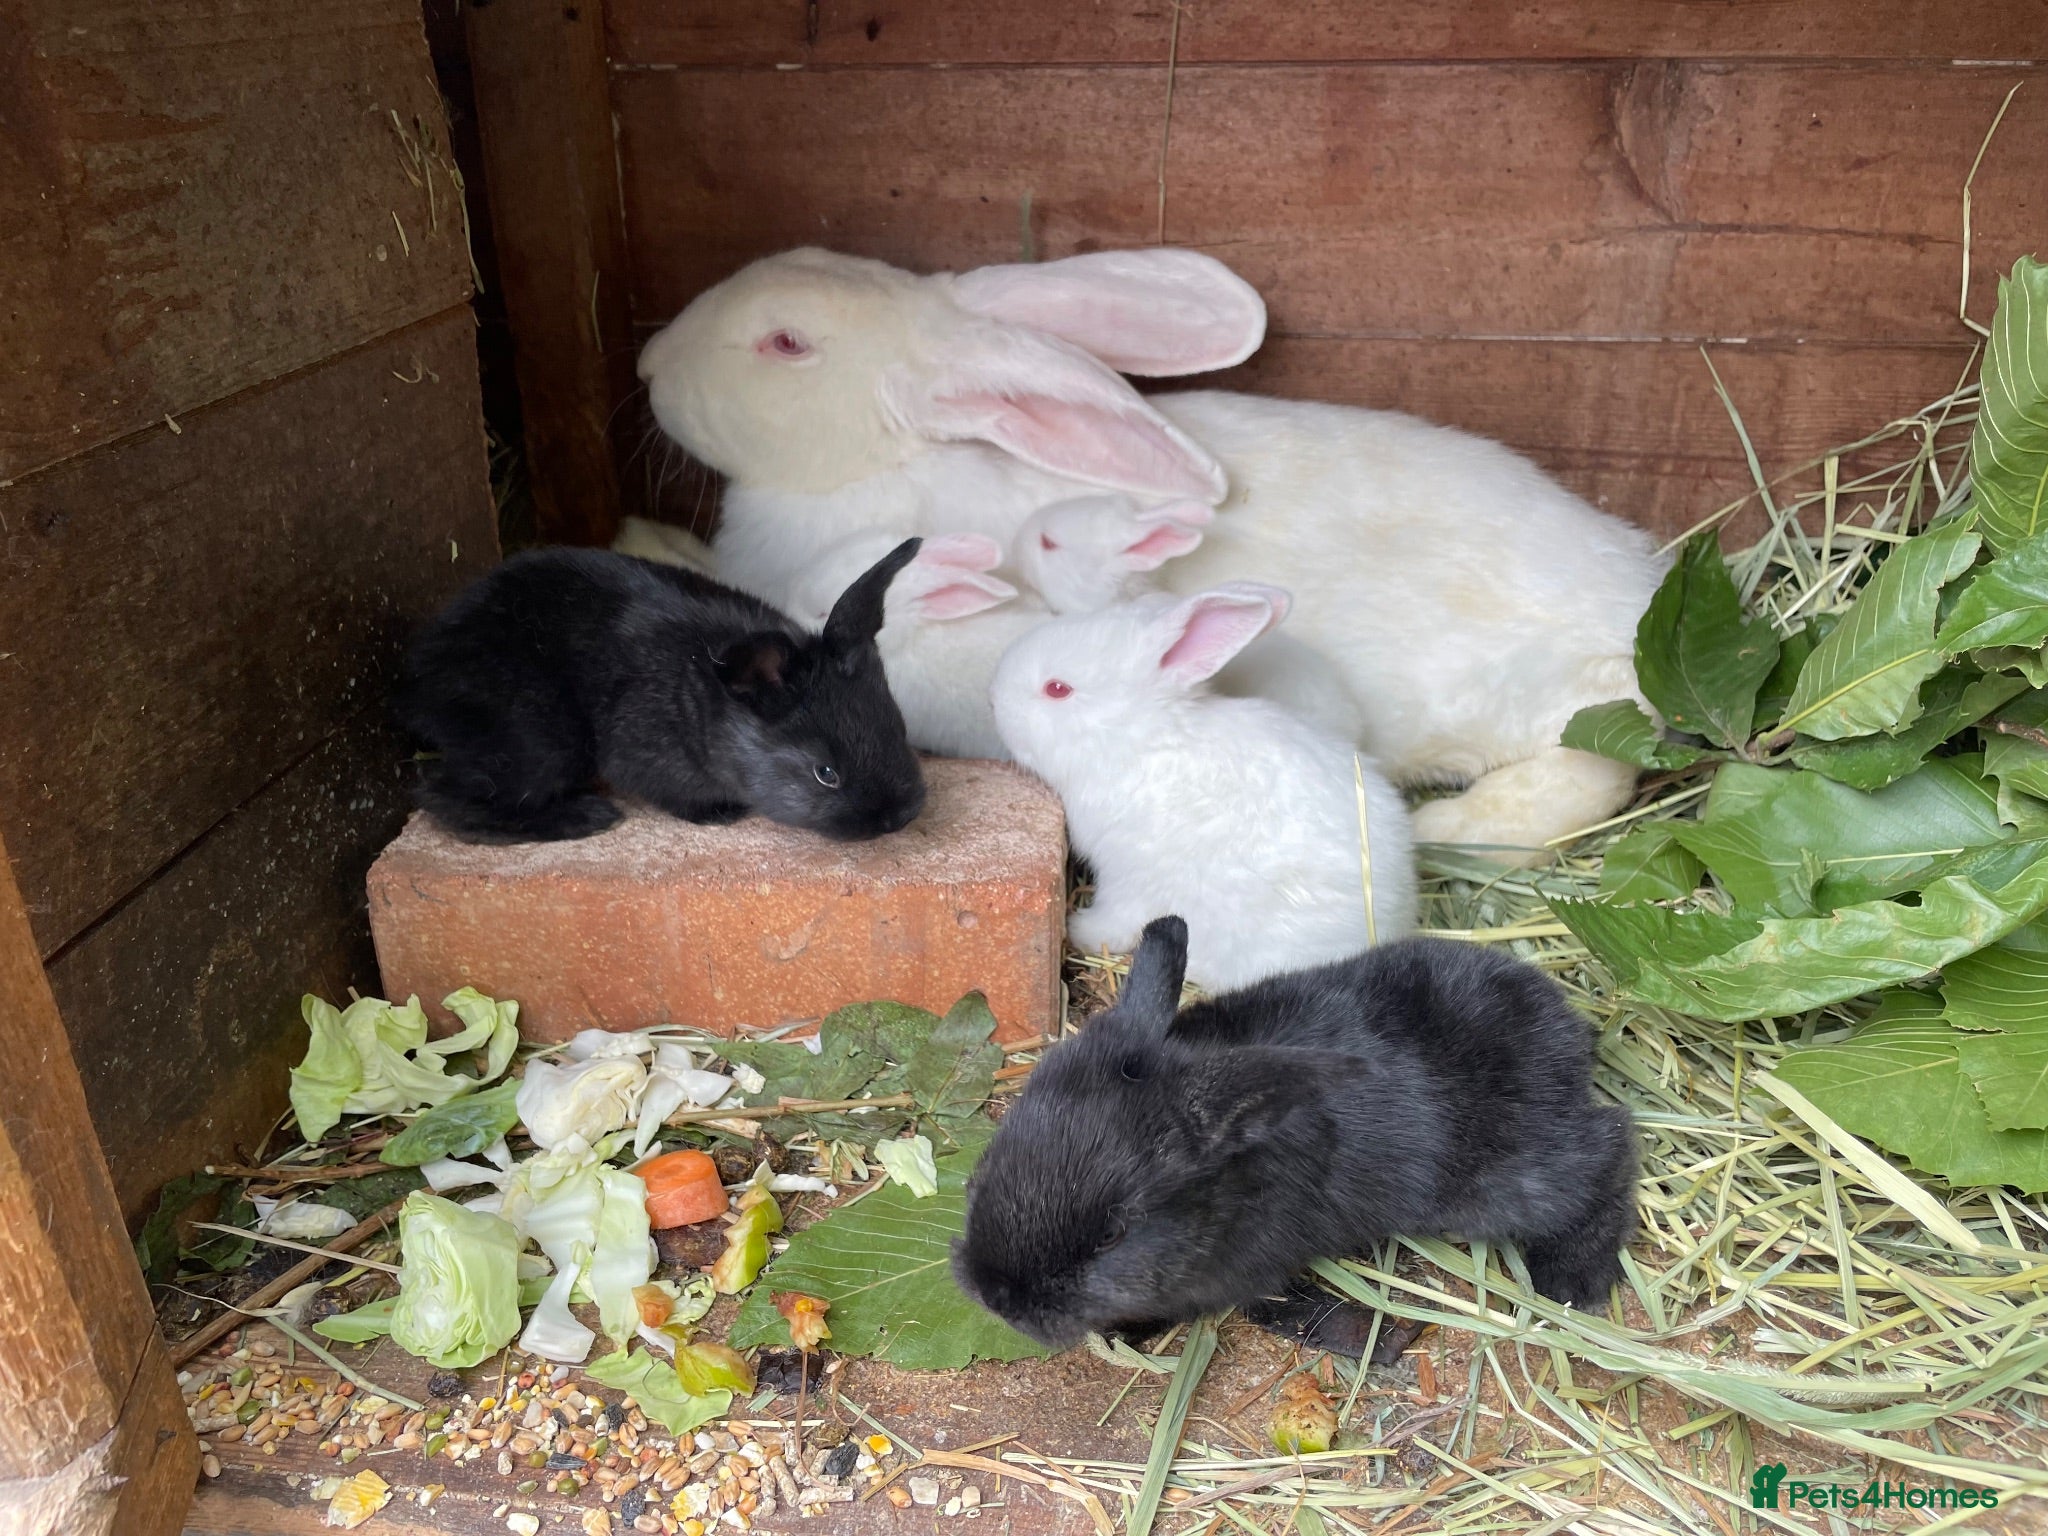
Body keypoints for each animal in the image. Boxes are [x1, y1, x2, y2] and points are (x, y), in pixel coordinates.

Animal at [394, 541, 928, 843]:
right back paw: (585, 817)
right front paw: (717, 814)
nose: (899, 817)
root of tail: (419, 679)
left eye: (899, 729)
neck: (705, 702)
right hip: (541, 743)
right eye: (826, 774)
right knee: (445, 799)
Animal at [636, 246, 1662, 862]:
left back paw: (1461, 823)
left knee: (1597, 763)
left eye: (785, 343)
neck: (882, 461)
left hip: (1538, 701)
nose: (648, 364)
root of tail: (1641, 595)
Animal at [953, 915, 1638, 1350]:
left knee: (1611, 1146)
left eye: (1112, 1234)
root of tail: (1568, 1032)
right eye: (984, 1172)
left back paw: (1573, 1282)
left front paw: (1130, 1330)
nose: (996, 1296)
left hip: (1507, 1184)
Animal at [990, 581, 1417, 990]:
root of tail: (1396, 912)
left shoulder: (1128, 874)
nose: (994, 702)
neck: (1138, 739)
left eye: (1057, 688)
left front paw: (1082, 929)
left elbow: (1117, 916)